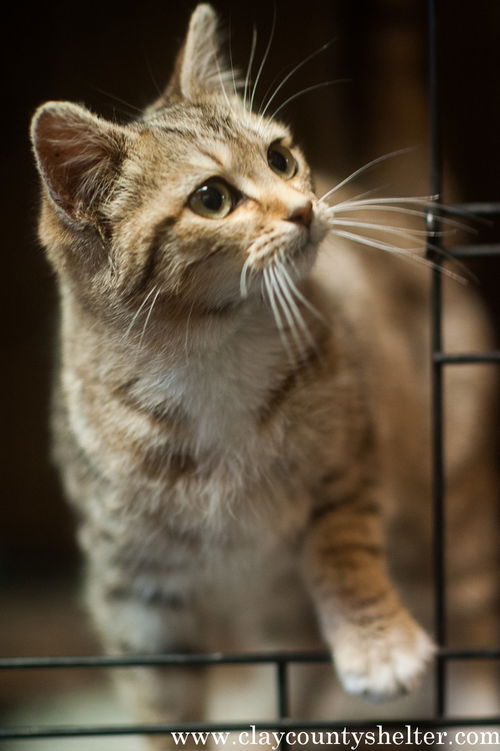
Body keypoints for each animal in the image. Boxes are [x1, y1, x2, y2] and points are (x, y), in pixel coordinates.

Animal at [30, 1, 496, 748]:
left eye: (281, 157)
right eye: (212, 198)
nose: (304, 208)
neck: (209, 357)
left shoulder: (348, 456)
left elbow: (344, 541)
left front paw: (378, 643)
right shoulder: (136, 591)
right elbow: (161, 698)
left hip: (455, 497)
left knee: (471, 605)